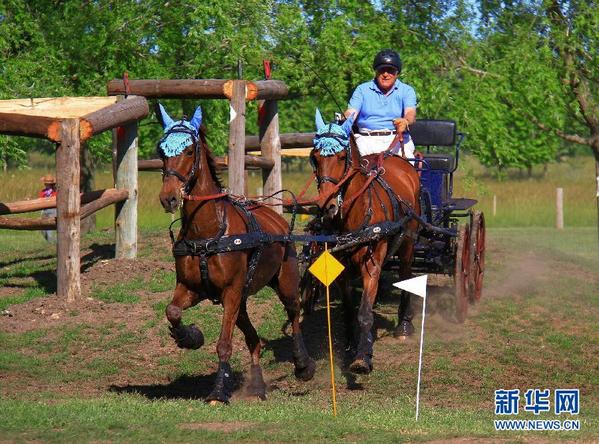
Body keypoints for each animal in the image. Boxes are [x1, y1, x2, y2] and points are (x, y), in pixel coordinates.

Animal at [157, 104, 316, 402]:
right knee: (254, 340)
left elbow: (224, 344)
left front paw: (218, 392)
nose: (168, 197)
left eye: (188, 150)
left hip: (285, 281)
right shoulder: (192, 288)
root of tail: (276, 218)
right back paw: (257, 386)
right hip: (241, 301)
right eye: (162, 151)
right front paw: (190, 336)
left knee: (294, 313)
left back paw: (303, 364)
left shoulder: (230, 292)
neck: (209, 233)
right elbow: (172, 310)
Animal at [310, 109, 422, 372]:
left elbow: (364, 310)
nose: (326, 205)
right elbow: (349, 309)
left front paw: (363, 355)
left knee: (405, 274)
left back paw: (404, 324)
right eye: (315, 158)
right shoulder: (339, 265)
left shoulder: (372, 263)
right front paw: (351, 344)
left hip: (408, 242)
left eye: (342, 157)